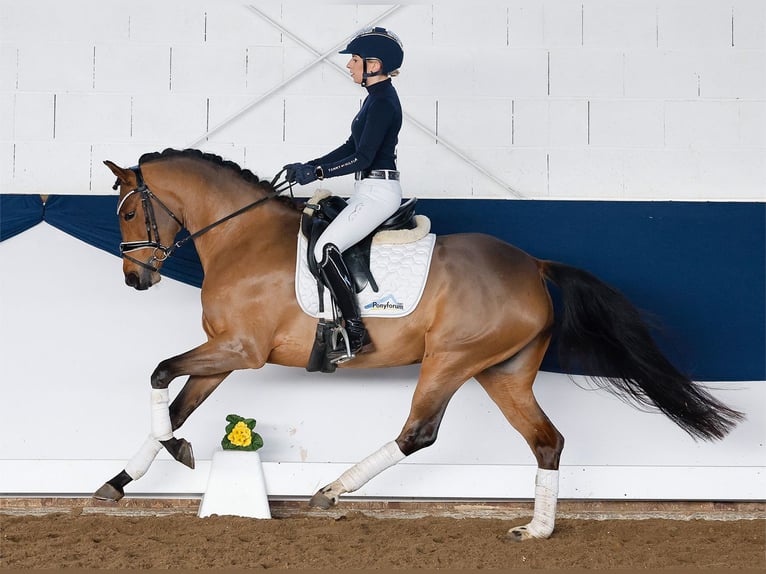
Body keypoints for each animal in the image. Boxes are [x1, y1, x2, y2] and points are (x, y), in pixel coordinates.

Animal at [94, 150, 744, 544]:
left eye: (126, 210)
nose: (134, 280)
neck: (240, 236)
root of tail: (533, 265)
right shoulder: (223, 353)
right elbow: (177, 402)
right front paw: (122, 480)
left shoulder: (239, 349)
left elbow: (159, 373)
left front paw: (169, 454)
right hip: (503, 371)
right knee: (546, 440)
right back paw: (536, 530)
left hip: (451, 360)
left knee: (420, 432)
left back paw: (331, 492)